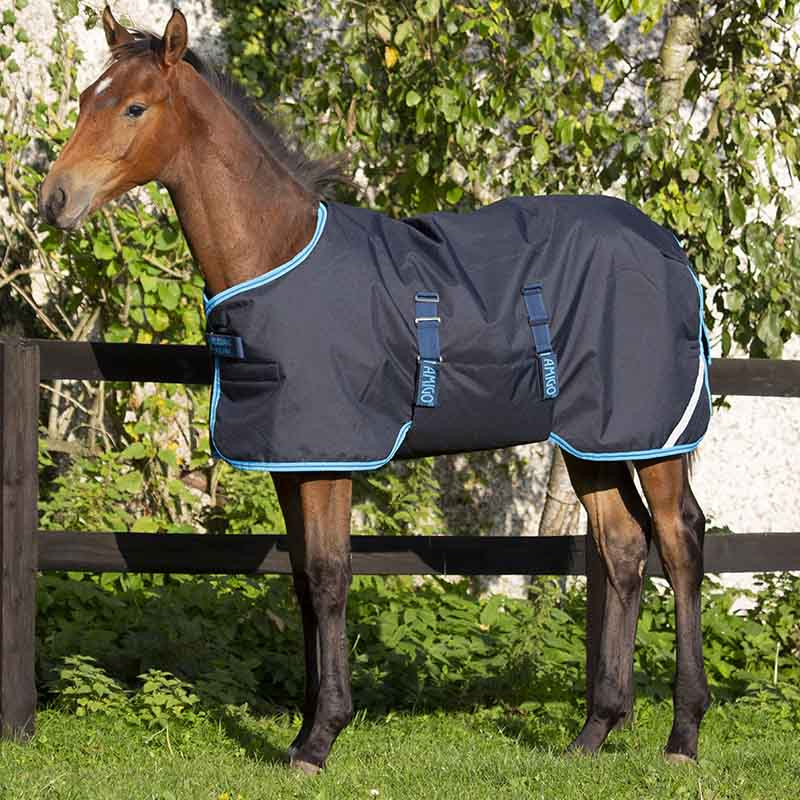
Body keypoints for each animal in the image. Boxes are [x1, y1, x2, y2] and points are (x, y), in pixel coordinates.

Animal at [39, 7, 711, 774]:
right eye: (86, 98)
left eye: (134, 107)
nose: (55, 199)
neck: (277, 253)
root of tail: (669, 247)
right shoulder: (291, 462)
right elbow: (303, 583)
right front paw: (303, 731)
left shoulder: (332, 460)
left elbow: (331, 577)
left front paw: (322, 738)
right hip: (592, 441)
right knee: (623, 548)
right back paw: (594, 732)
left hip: (653, 437)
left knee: (680, 542)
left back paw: (683, 735)